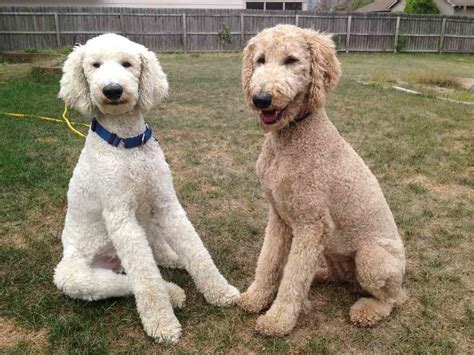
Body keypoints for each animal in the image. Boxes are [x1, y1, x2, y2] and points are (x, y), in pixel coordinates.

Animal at [54, 34, 239, 344]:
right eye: (94, 65)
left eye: (127, 64)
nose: (112, 90)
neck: (128, 146)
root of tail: (112, 261)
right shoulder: (122, 219)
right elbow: (145, 279)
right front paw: (162, 324)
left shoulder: (166, 202)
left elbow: (196, 251)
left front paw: (221, 291)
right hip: (74, 274)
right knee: (127, 281)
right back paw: (172, 293)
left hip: (145, 214)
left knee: (152, 252)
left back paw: (172, 258)